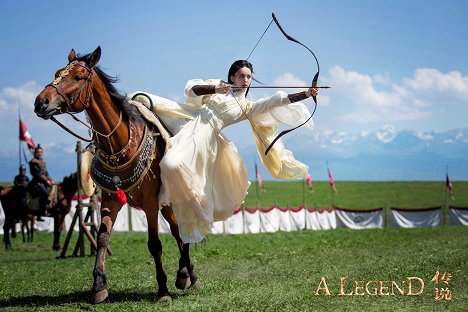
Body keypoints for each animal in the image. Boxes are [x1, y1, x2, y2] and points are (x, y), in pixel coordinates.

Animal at [33, 47, 198, 304]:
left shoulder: (150, 202)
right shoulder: (110, 200)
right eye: (57, 73)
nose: (41, 102)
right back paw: (186, 275)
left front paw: (162, 290)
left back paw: (186, 276)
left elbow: (154, 244)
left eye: (78, 77)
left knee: (179, 231)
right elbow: (102, 238)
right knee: (178, 233)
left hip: (168, 201)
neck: (119, 143)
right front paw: (99, 286)